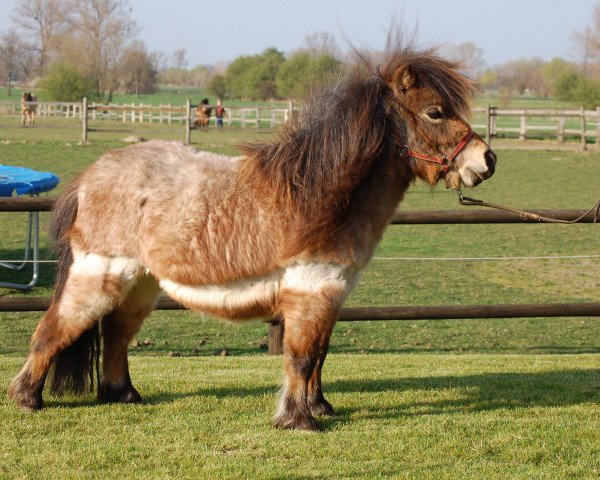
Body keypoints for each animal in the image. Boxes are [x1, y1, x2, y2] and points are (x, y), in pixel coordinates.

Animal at [9, 34, 496, 432]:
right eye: (435, 112)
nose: (487, 160)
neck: (318, 192)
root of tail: (91, 174)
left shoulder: (332, 292)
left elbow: (320, 354)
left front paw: (319, 408)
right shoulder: (311, 289)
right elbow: (301, 356)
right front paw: (298, 420)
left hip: (141, 285)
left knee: (115, 335)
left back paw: (125, 395)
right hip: (101, 275)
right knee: (54, 329)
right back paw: (27, 399)